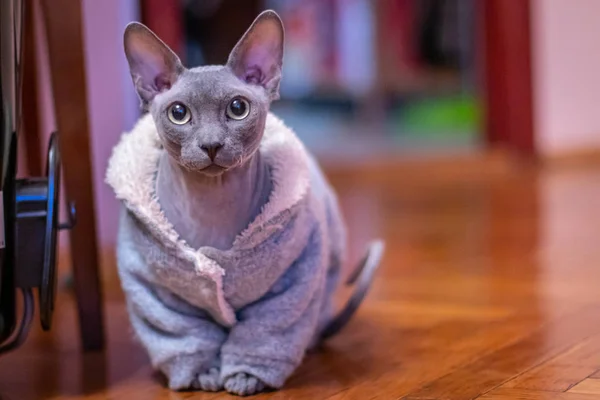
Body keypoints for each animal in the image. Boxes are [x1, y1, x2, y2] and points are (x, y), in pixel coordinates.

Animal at [105, 9, 382, 396]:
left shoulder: (289, 286)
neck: (212, 205)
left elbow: (264, 334)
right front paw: (201, 374)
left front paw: (247, 376)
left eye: (238, 109)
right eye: (179, 113)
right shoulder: (161, 294)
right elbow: (186, 336)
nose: (210, 145)